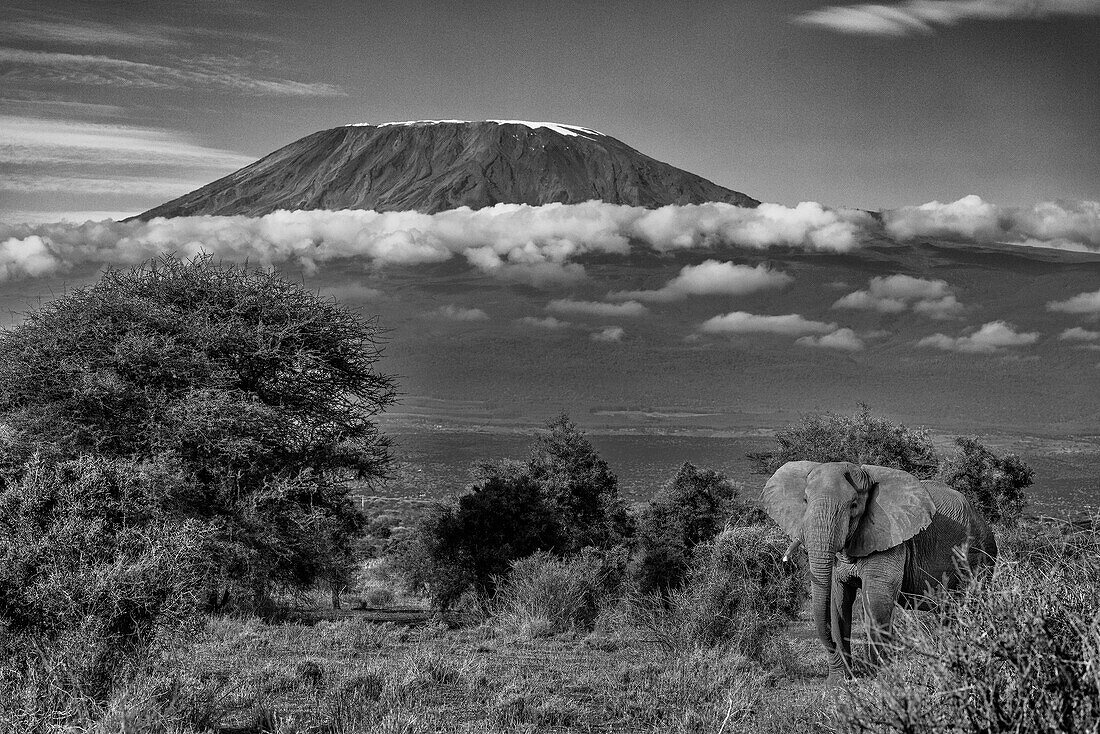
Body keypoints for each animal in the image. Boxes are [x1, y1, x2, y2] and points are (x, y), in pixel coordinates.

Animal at [765, 462, 998, 682]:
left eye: (854, 505)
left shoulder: (890, 537)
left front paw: (880, 678)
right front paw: (838, 682)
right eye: (805, 500)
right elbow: (838, 600)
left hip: (980, 557)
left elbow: (876, 600)